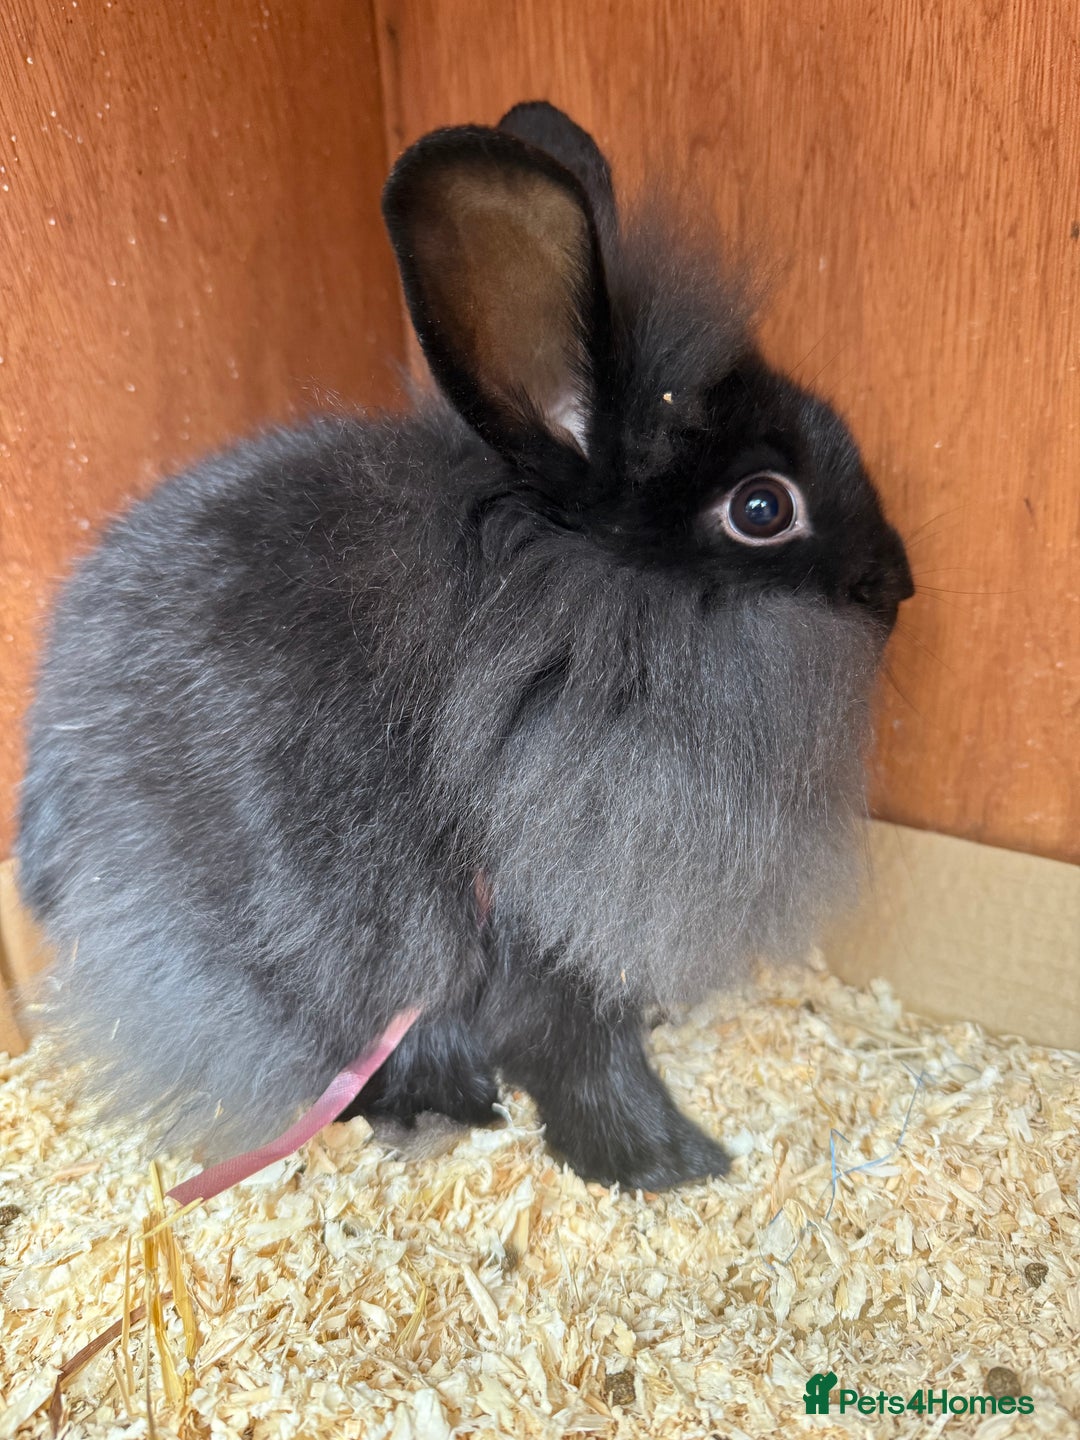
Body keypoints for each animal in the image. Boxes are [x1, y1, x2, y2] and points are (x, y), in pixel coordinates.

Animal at [16, 101, 913, 1191]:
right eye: (761, 508)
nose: (900, 585)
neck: (579, 605)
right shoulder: (536, 933)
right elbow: (584, 1051)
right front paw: (666, 1160)